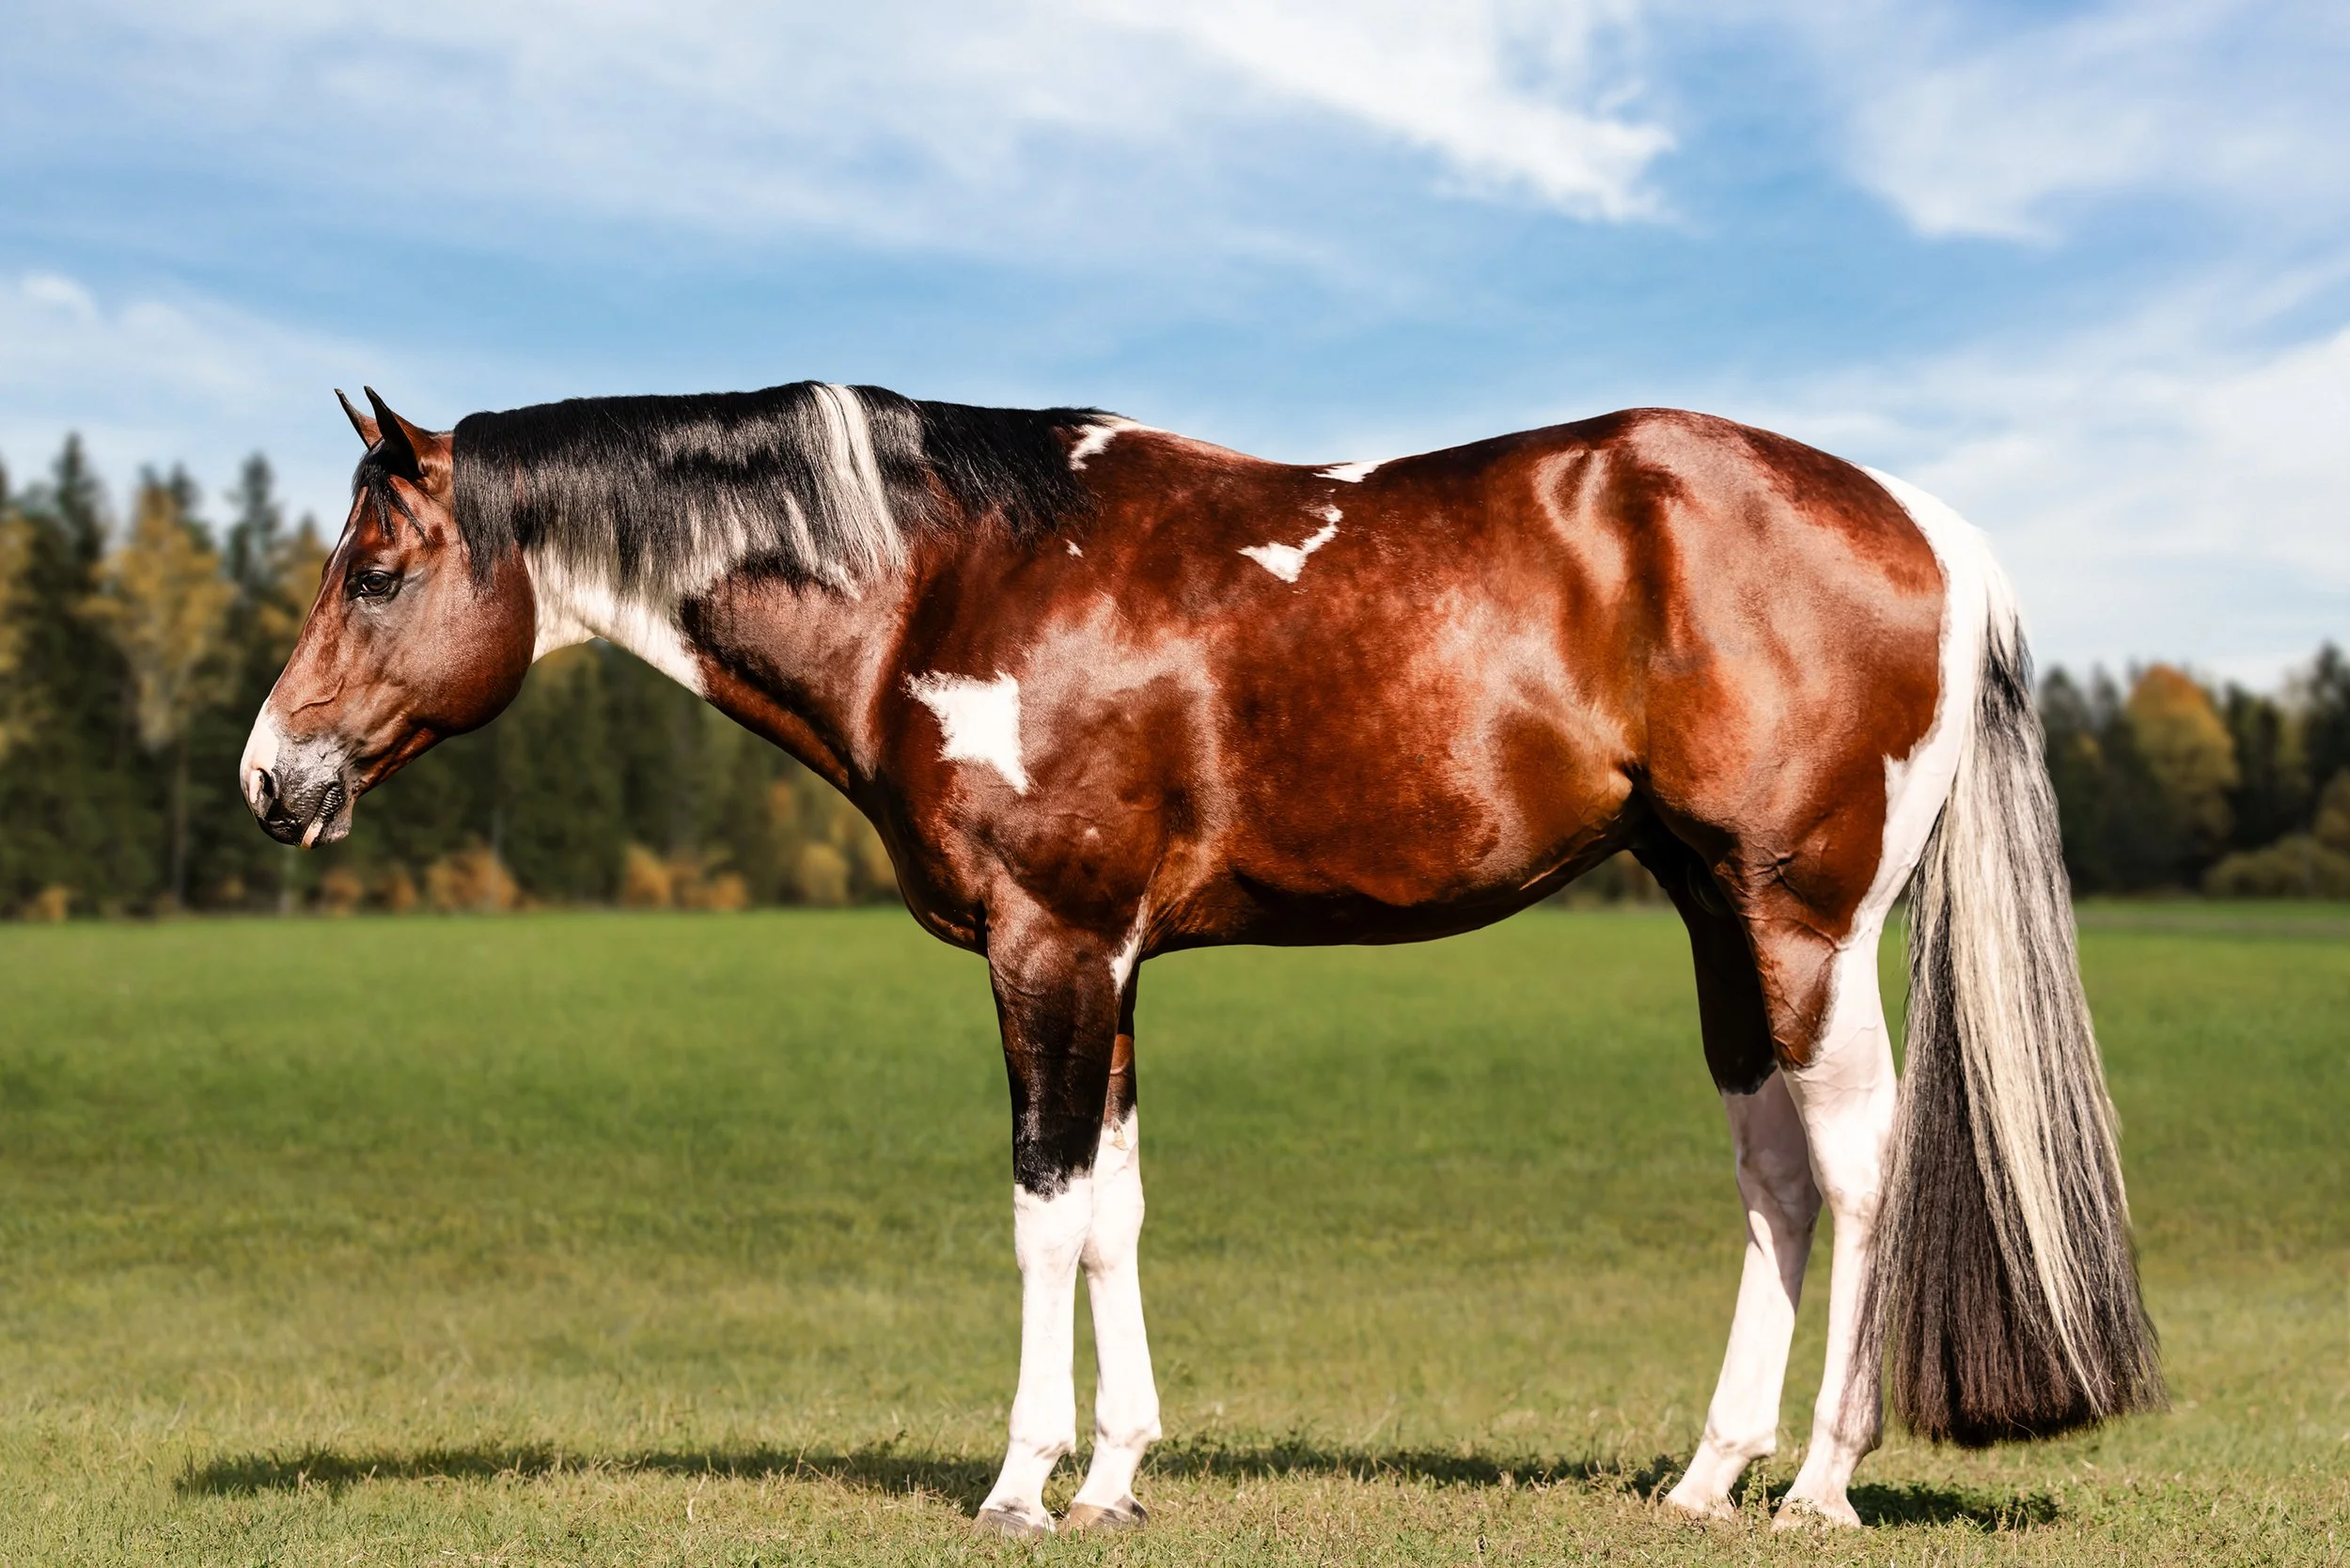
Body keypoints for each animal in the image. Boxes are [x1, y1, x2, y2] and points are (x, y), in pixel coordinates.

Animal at [242, 382, 2162, 1534]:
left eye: (376, 567)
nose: (272, 775)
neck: (946, 575)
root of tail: (1928, 528)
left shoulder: (1048, 945)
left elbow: (1041, 1207)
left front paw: (1022, 1482)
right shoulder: (1114, 961)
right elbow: (1118, 1210)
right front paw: (1117, 1476)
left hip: (1799, 920)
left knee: (1861, 1164)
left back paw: (1822, 1486)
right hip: (1716, 920)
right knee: (1772, 1176)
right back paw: (1705, 1476)